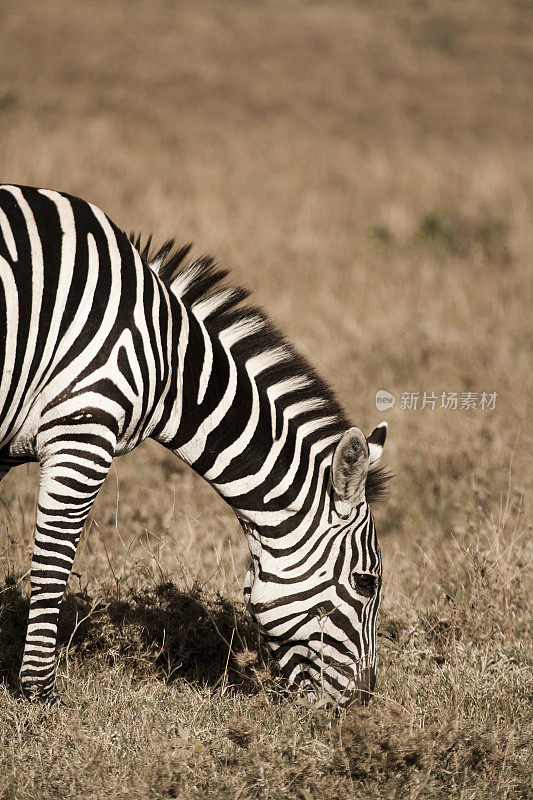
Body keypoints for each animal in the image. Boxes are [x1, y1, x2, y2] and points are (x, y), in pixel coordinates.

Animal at [0, 184, 386, 704]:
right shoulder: (82, 428)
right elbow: (53, 564)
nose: (365, 703)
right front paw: (39, 695)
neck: (170, 361)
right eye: (365, 583)